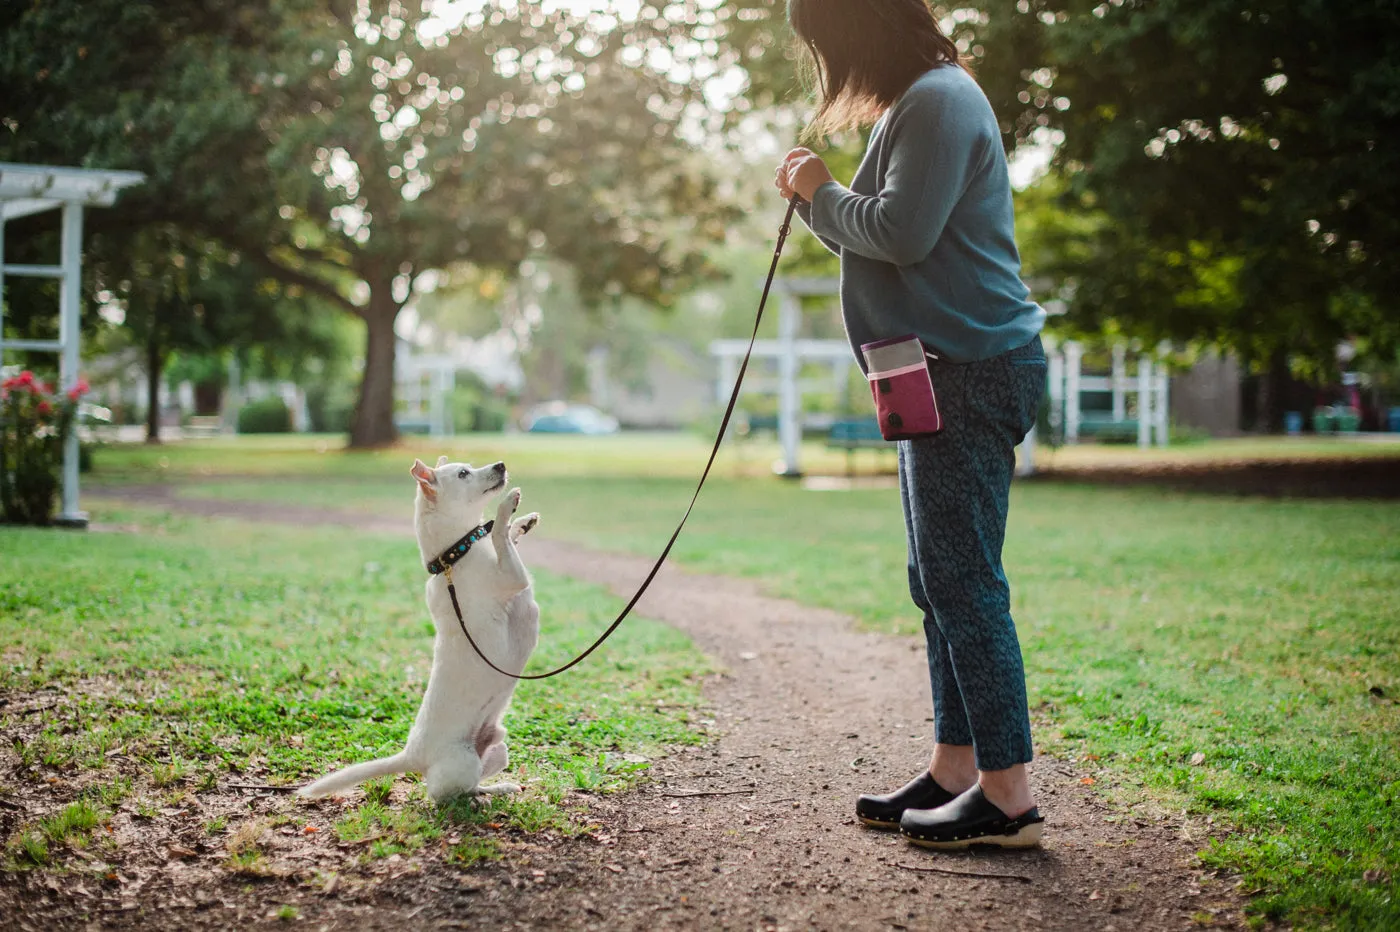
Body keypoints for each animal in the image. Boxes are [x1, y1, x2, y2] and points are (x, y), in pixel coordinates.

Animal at [301, 453, 540, 800]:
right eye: (464, 473)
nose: (501, 465)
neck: (453, 555)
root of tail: (412, 754)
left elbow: (505, 537)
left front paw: (523, 522)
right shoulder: (512, 578)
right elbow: (498, 534)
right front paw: (507, 507)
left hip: (498, 750)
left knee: (477, 782)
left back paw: (499, 788)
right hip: (462, 762)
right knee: (447, 794)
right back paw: (477, 801)